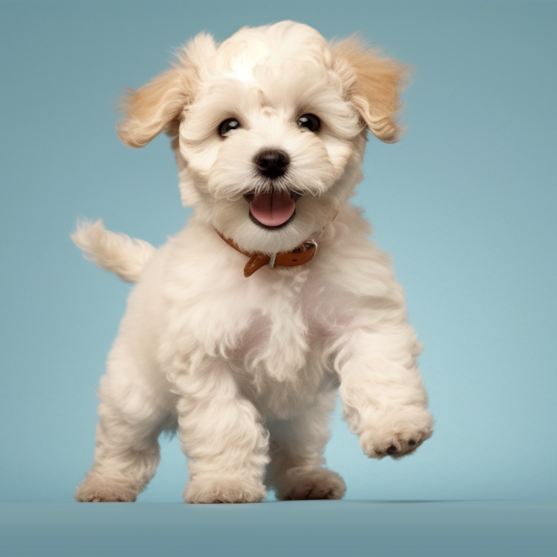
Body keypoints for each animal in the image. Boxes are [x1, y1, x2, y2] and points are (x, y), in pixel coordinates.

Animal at [71, 19, 432, 502]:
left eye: (309, 122)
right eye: (228, 126)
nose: (272, 159)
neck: (276, 257)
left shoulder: (364, 313)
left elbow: (381, 366)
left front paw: (396, 427)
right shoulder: (205, 357)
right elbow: (224, 424)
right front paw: (224, 482)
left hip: (301, 416)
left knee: (295, 444)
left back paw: (306, 479)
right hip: (135, 390)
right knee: (124, 438)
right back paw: (107, 483)